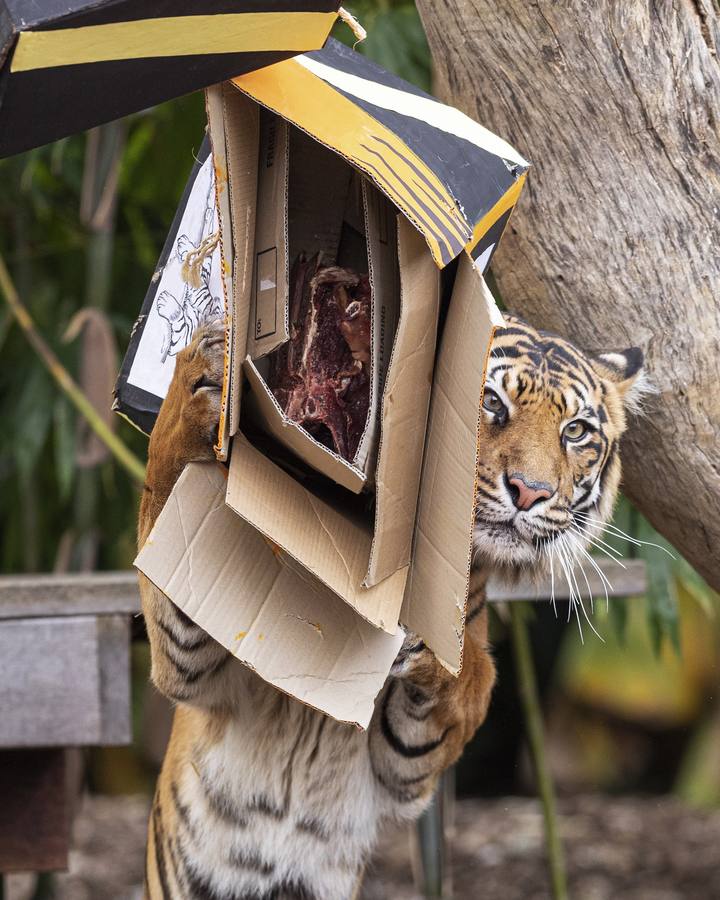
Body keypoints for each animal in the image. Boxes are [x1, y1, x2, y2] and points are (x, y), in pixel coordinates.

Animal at [136, 312, 648, 900]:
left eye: (576, 431)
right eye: (491, 402)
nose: (529, 491)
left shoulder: (404, 769)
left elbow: (471, 674)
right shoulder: (192, 668)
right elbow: (164, 492)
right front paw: (207, 368)